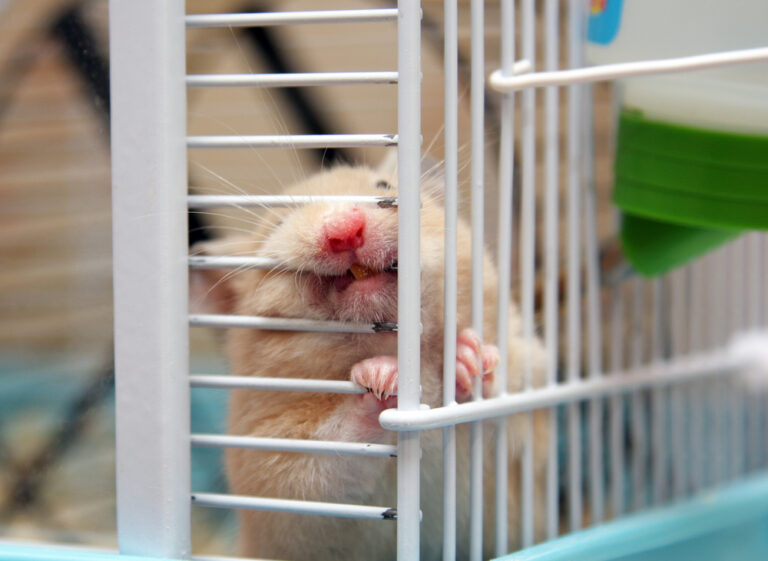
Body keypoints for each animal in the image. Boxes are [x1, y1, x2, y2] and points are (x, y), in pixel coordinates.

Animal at [192, 160, 549, 560]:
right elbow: (335, 448)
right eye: (279, 222)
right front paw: (380, 378)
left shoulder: (526, 439)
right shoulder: (278, 469)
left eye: (385, 187)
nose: (344, 231)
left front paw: (469, 357)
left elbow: (496, 407)